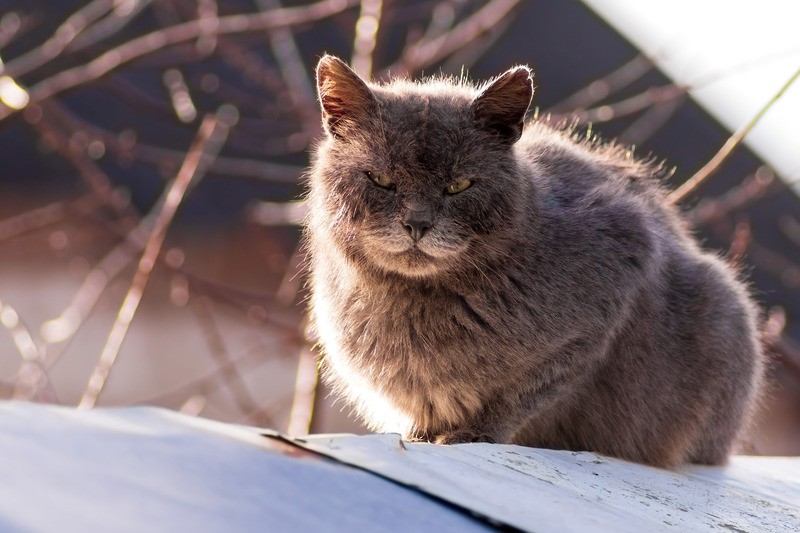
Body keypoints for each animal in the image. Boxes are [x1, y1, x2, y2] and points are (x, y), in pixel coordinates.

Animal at [304, 54, 764, 466]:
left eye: (460, 185)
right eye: (380, 179)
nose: (417, 224)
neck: (416, 308)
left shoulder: (610, 288)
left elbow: (522, 394)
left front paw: (473, 434)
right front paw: (421, 435)